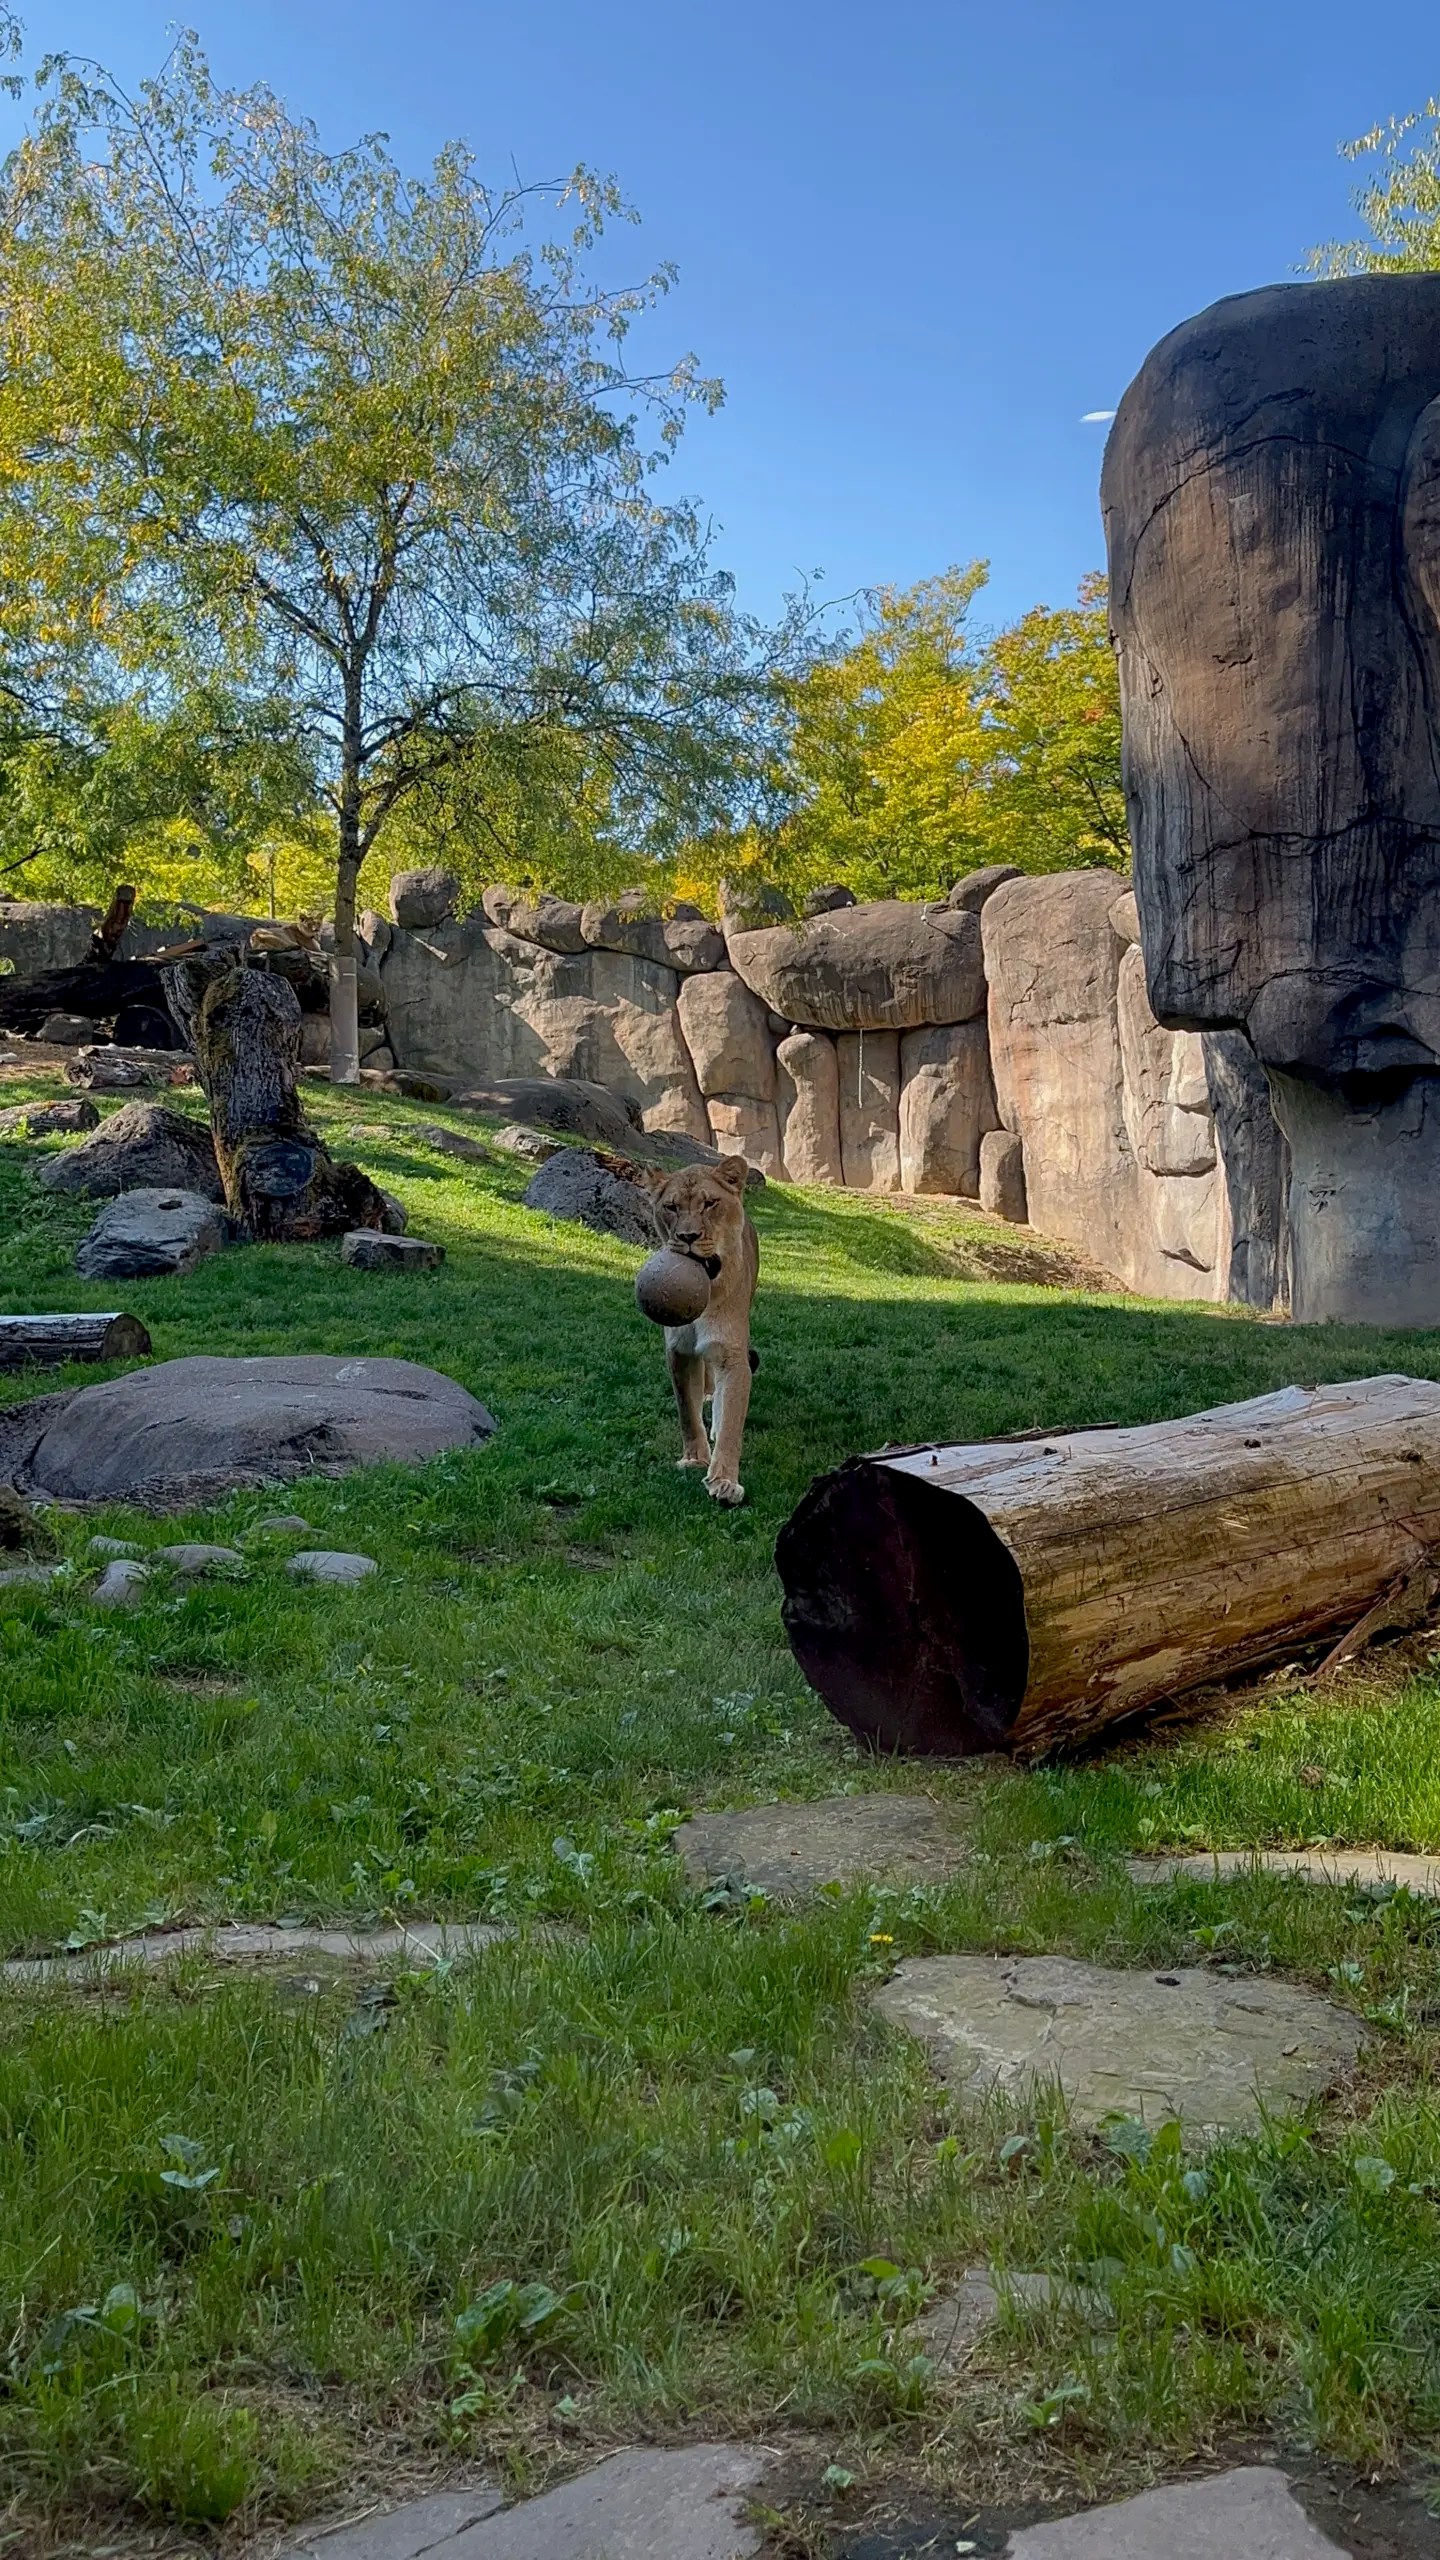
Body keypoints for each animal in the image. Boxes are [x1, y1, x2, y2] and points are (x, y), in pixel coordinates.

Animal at [639, 1155, 759, 1506]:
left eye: (709, 1204)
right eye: (671, 1207)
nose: (688, 1237)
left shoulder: (732, 1354)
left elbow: (731, 1418)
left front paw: (724, 1481)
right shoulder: (678, 1351)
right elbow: (687, 1412)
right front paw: (694, 1459)